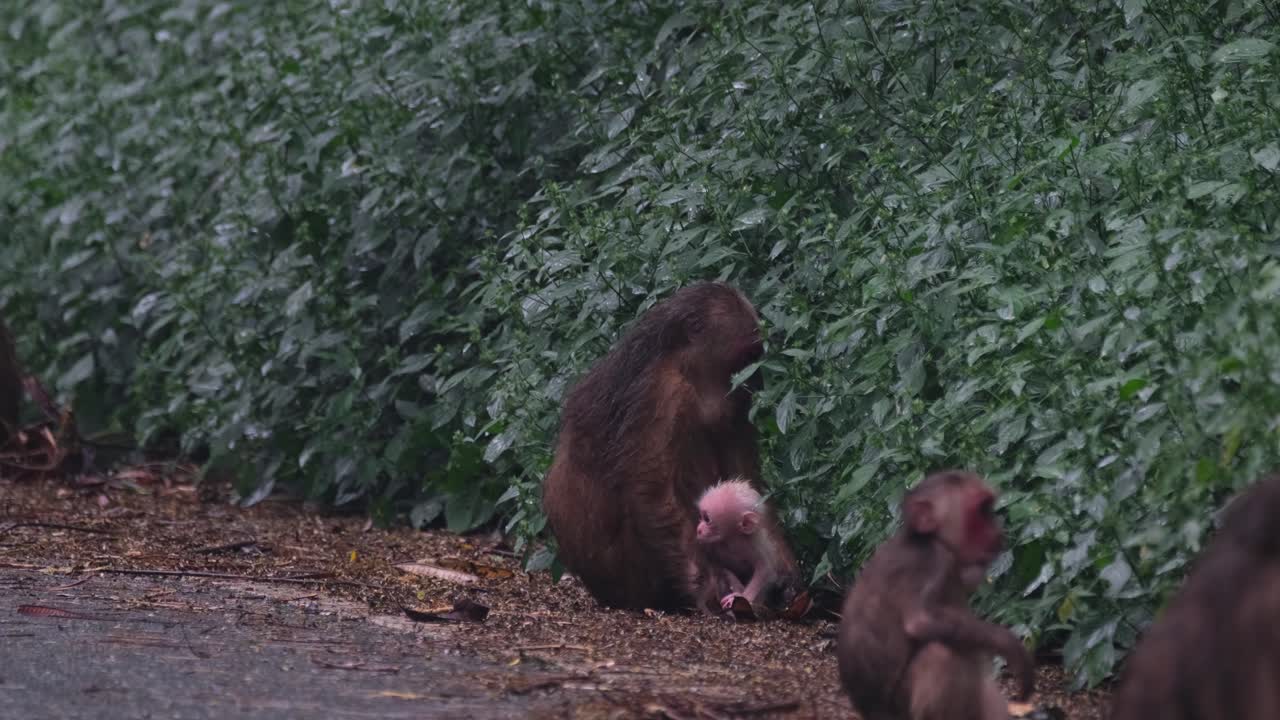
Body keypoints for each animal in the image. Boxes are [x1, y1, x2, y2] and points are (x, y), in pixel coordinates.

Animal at [695, 478, 799, 612]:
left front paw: (743, 597)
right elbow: (718, 569)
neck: (732, 540)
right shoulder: (712, 546)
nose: (699, 530)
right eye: (702, 517)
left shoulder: (755, 543)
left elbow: (765, 569)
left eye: (707, 519)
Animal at [837, 470, 1035, 720]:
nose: (999, 533)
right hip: (900, 710)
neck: (927, 540)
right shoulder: (931, 562)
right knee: (941, 653)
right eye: (981, 512)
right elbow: (920, 623)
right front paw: (1010, 645)